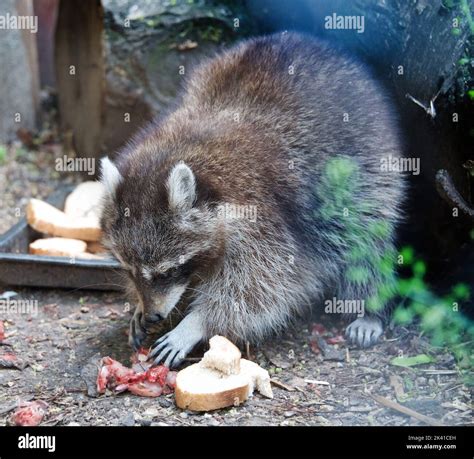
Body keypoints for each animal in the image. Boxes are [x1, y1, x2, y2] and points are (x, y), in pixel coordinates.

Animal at [100, 32, 404, 368]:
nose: (154, 314)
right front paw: (141, 306)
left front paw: (195, 323)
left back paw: (369, 308)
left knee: (363, 238)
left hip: (366, 166)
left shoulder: (261, 217)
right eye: (129, 270)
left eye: (167, 272)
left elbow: (263, 287)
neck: (181, 148)